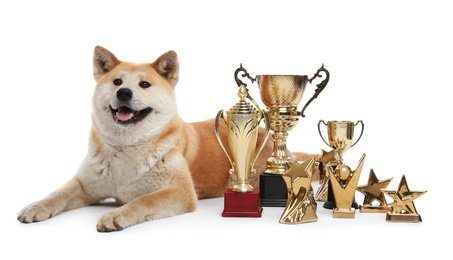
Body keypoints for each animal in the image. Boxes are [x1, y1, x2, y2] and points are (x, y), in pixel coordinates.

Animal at [16, 46, 314, 232]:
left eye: (144, 84)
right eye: (116, 82)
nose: (124, 93)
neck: (127, 148)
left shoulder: (180, 192)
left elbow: (142, 201)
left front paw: (115, 215)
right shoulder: (85, 184)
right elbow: (58, 193)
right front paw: (35, 207)